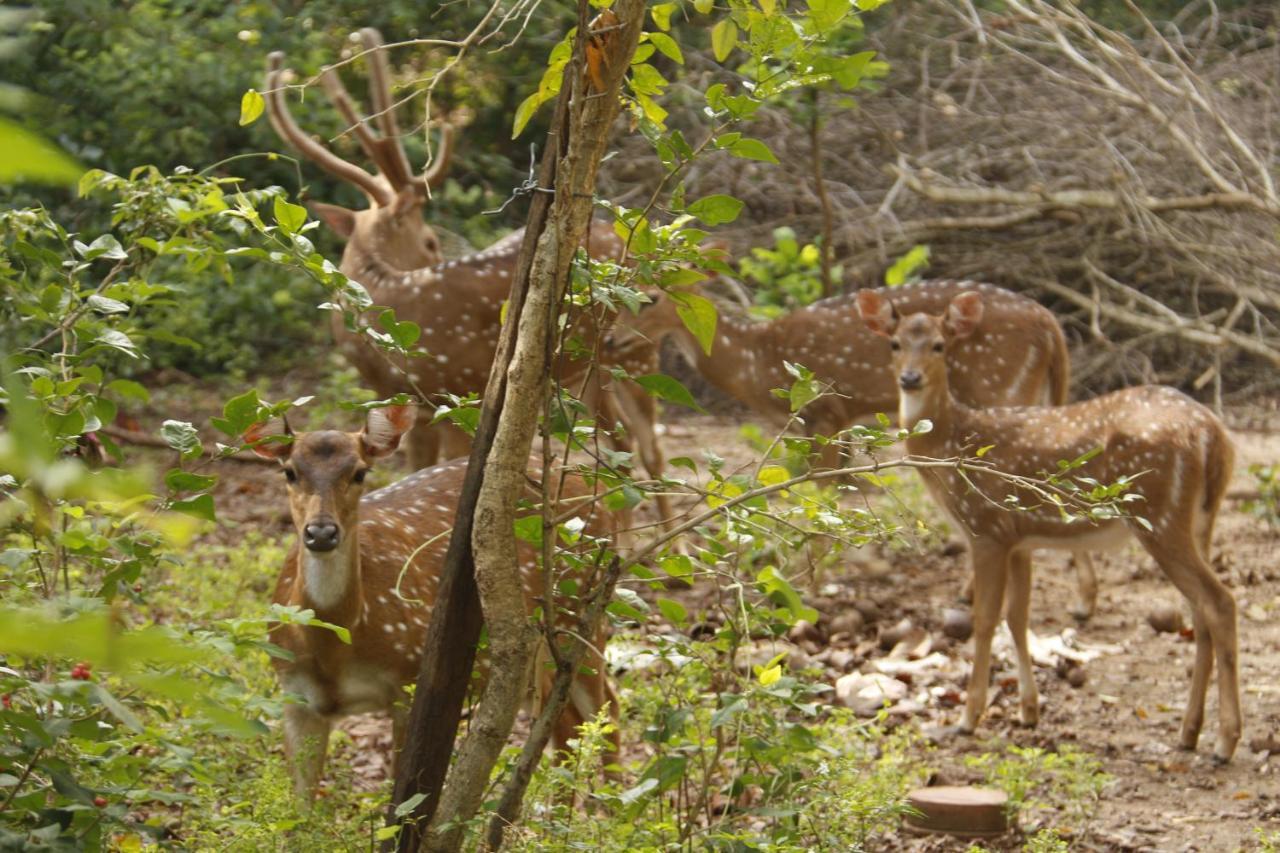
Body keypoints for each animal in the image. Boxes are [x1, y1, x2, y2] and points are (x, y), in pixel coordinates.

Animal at [247, 404, 622, 799]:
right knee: (563, 719)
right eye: (289, 471)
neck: (337, 644)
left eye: (360, 472)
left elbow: (400, 793)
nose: (321, 532)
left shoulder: (409, 680)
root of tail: (594, 486)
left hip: (582, 607)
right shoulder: (295, 697)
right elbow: (299, 806)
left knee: (606, 708)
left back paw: (610, 806)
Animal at [627, 279, 1100, 617]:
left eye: (650, 297)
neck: (755, 364)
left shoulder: (824, 413)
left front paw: (810, 584)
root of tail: (1052, 326)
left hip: (999, 389)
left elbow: (819, 497)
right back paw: (1079, 599)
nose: (614, 339)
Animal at [860, 289, 1239, 758]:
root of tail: (1212, 435)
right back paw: (1189, 732)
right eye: (894, 343)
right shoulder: (1019, 538)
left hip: (1159, 515)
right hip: (1201, 518)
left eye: (939, 345)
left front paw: (968, 718)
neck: (951, 444)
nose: (910, 378)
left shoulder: (986, 529)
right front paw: (1029, 710)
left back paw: (1225, 741)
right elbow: (1018, 618)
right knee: (1201, 612)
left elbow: (984, 619)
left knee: (1220, 603)